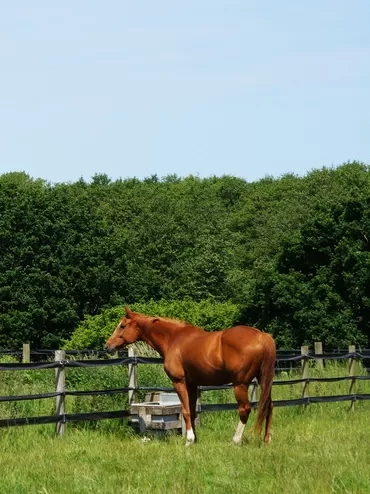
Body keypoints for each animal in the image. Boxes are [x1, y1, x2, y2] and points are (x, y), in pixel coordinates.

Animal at [105, 306, 276, 446]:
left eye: (122, 326)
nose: (107, 346)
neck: (173, 338)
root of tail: (262, 336)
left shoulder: (179, 382)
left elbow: (186, 410)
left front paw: (189, 440)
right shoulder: (193, 384)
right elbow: (193, 411)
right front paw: (195, 439)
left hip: (240, 385)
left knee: (244, 409)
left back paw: (236, 440)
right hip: (263, 381)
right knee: (268, 405)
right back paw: (267, 440)